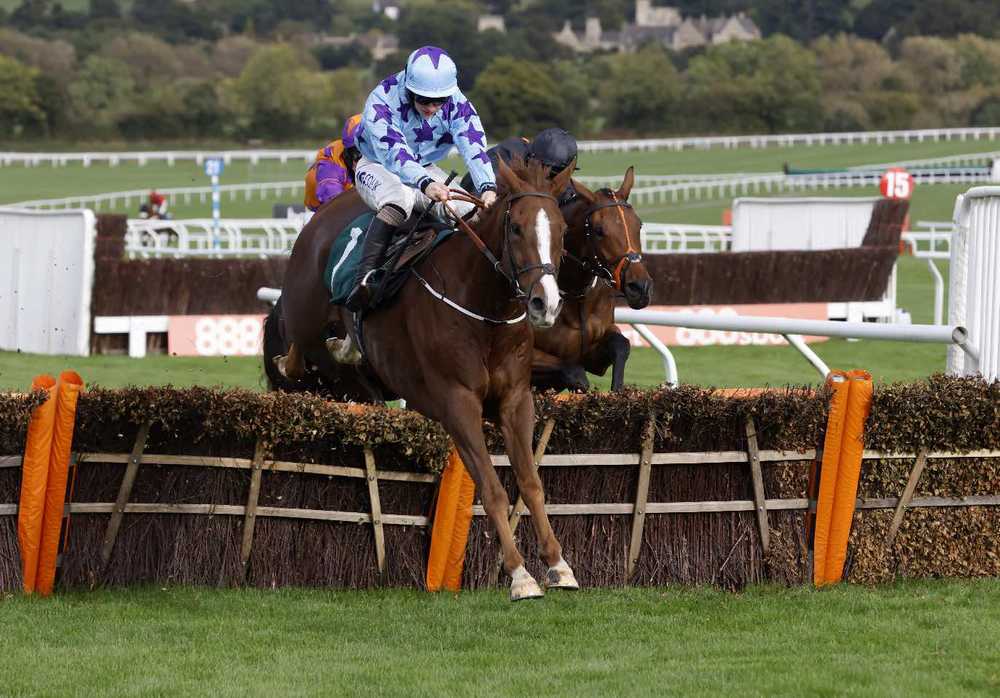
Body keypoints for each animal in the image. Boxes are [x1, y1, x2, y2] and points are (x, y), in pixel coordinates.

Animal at [278, 158, 584, 600]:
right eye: (515, 228)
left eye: (561, 230)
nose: (546, 303)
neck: (484, 310)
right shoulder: (457, 403)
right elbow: (491, 488)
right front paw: (520, 575)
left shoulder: (515, 400)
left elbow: (530, 482)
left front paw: (558, 565)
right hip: (311, 324)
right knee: (303, 351)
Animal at [532, 167, 656, 392]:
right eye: (599, 230)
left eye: (639, 225)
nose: (640, 288)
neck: (575, 294)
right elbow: (574, 373)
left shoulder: (595, 357)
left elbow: (622, 346)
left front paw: (618, 390)